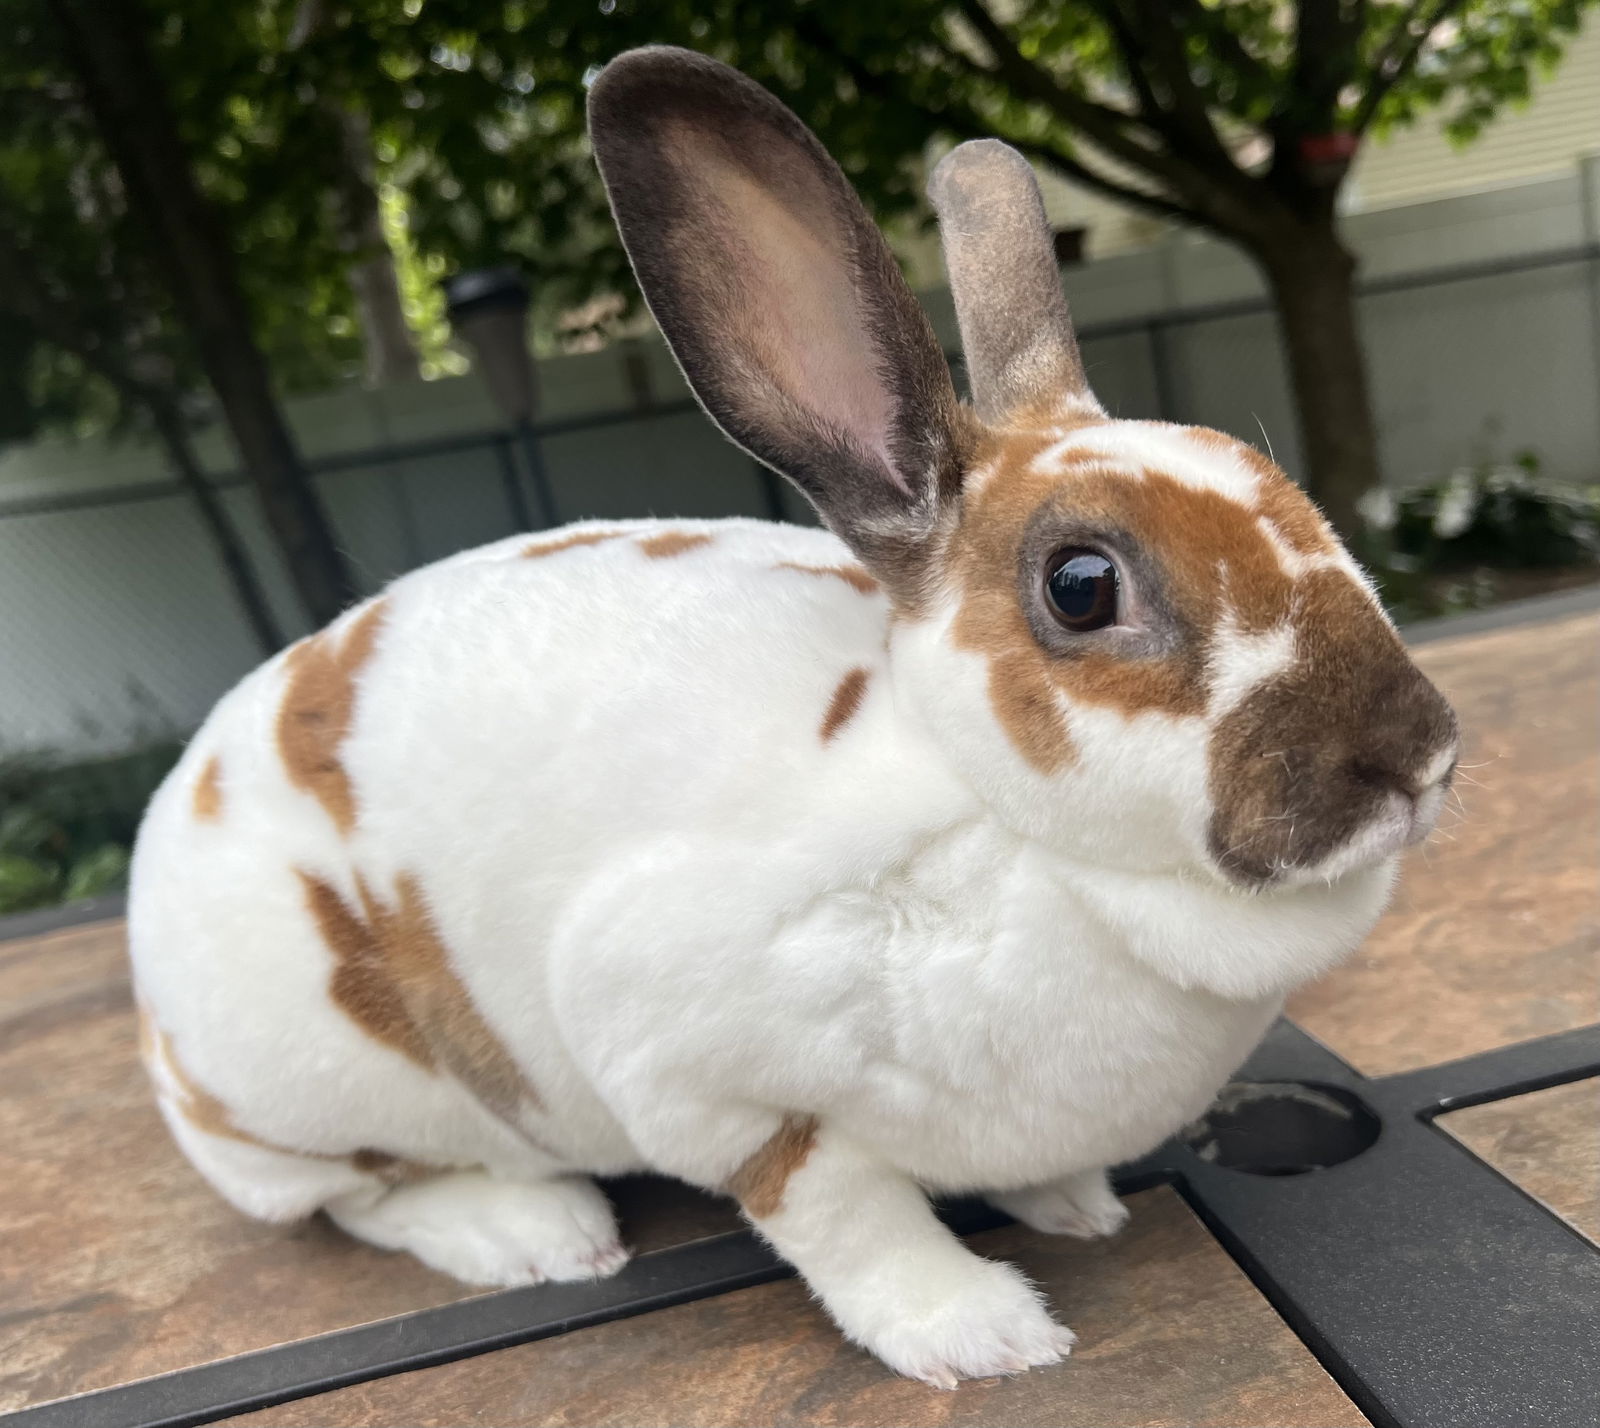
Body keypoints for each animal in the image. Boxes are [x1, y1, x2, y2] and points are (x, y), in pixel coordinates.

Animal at [131, 50, 1459, 1389]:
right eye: (1082, 586)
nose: (1417, 755)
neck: (1012, 839)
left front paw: (1074, 1205)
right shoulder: (702, 1070)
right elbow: (845, 1216)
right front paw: (984, 1334)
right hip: (326, 1090)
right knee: (361, 1196)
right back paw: (539, 1232)